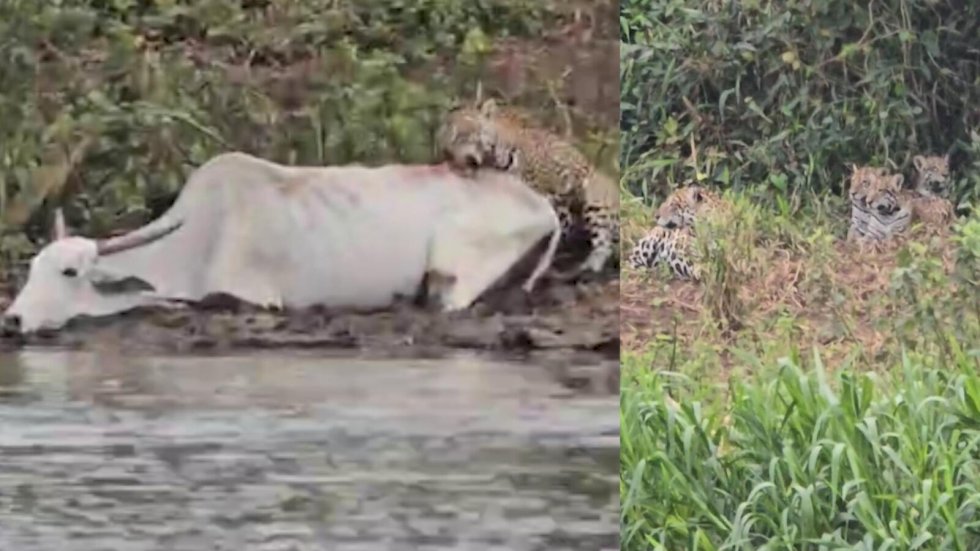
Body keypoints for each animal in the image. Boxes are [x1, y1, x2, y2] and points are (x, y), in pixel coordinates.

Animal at [1, 152, 562, 334]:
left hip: (452, 273)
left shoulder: (251, 297)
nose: (12, 319)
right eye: (32, 268)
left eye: (70, 272)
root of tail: (545, 207)